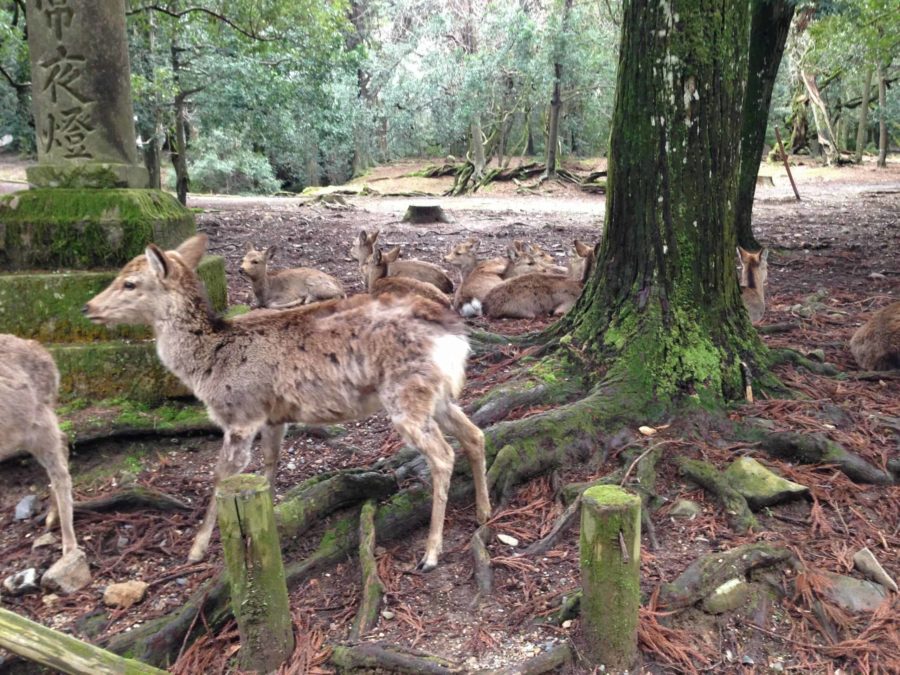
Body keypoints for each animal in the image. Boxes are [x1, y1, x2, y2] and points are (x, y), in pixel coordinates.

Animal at [84, 234, 491, 571]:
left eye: (130, 282)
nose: (88, 307)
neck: (206, 366)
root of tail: (455, 336)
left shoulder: (241, 414)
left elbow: (219, 477)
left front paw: (197, 549)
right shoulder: (273, 417)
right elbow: (269, 465)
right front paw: (272, 519)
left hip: (406, 394)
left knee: (443, 454)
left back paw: (431, 553)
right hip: (437, 395)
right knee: (474, 434)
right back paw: (484, 512)